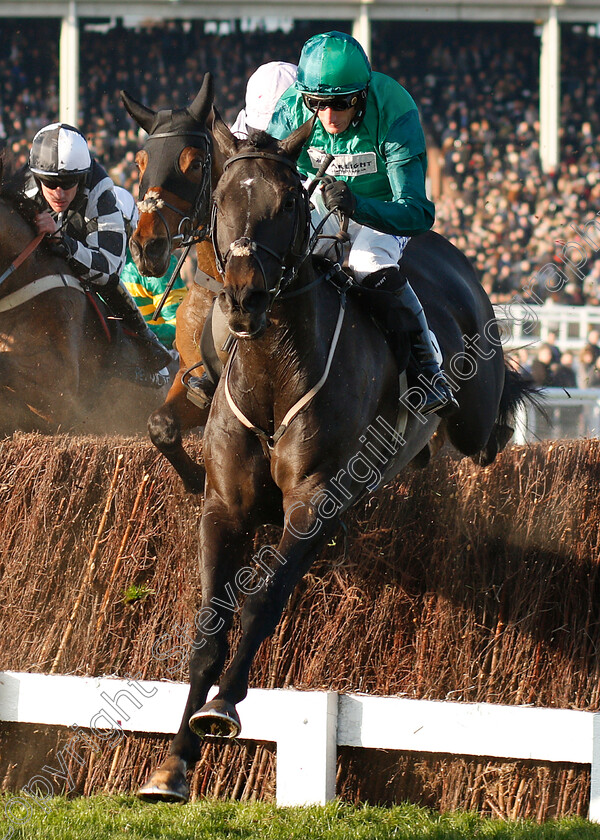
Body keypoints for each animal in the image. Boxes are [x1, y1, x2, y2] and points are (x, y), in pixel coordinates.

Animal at [119, 75, 225, 492]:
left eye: (194, 163)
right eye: (139, 163)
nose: (146, 246)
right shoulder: (192, 377)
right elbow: (161, 425)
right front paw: (197, 477)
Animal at [137, 113, 536, 800]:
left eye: (287, 202)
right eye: (224, 201)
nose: (242, 298)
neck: (273, 372)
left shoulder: (313, 501)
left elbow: (264, 599)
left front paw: (223, 707)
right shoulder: (224, 507)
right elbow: (209, 626)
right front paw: (176, 760)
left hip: (472, 413)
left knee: (490, 432)